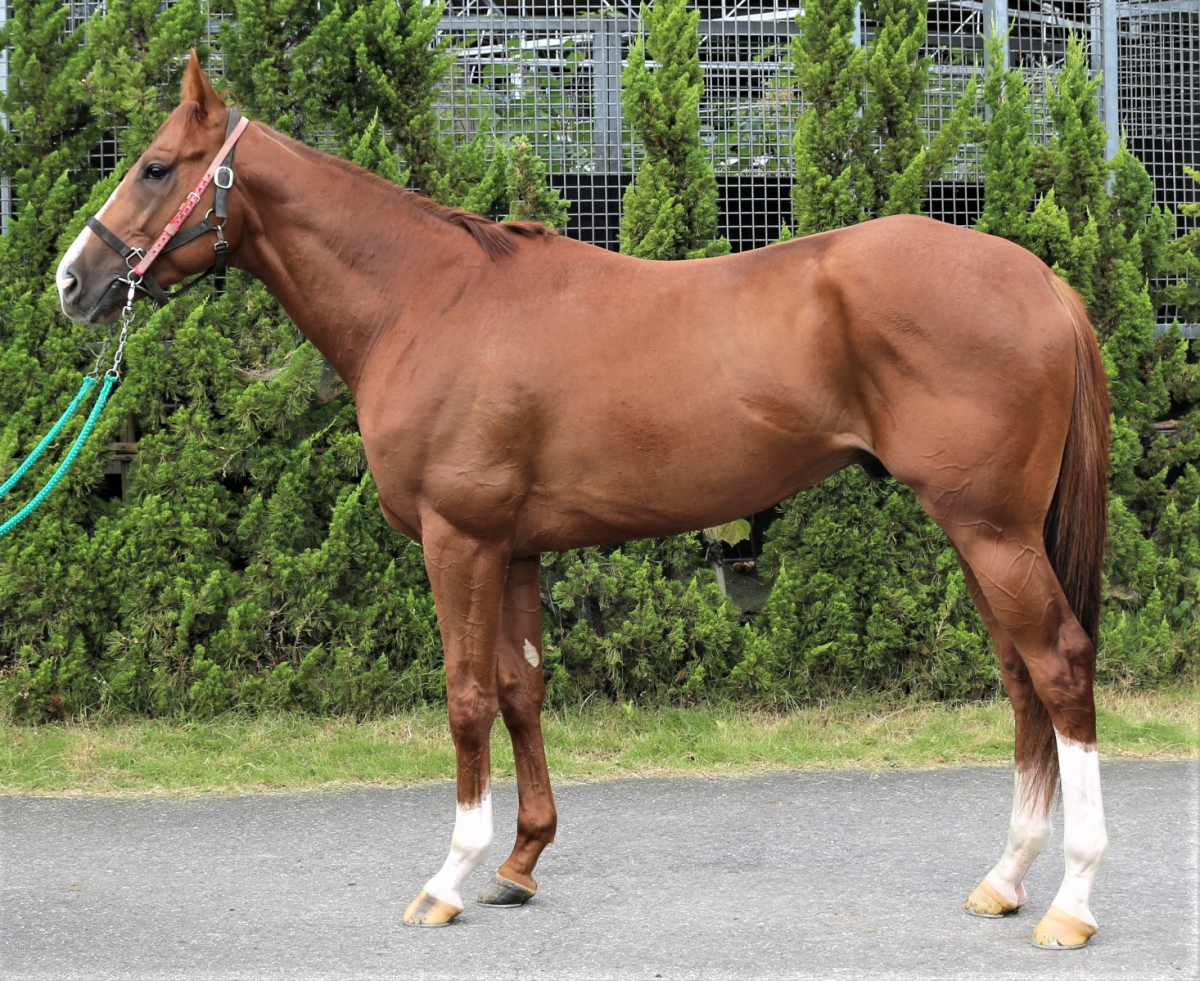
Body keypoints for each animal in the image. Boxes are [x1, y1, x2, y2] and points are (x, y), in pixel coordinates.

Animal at [56, 55, 1110, 949]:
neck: (429, 302)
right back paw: (1005, 878)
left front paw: (449, 876)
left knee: (1058, 667)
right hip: (982, 534)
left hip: (991, 530)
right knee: (1021, 679)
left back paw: (1071, 900)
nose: (73, 280)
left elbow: (467, 696)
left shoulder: (459, 539)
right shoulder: (515, 548)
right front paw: (520, 862)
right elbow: (522, 689)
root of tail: (1042, 280)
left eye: (155, 167)